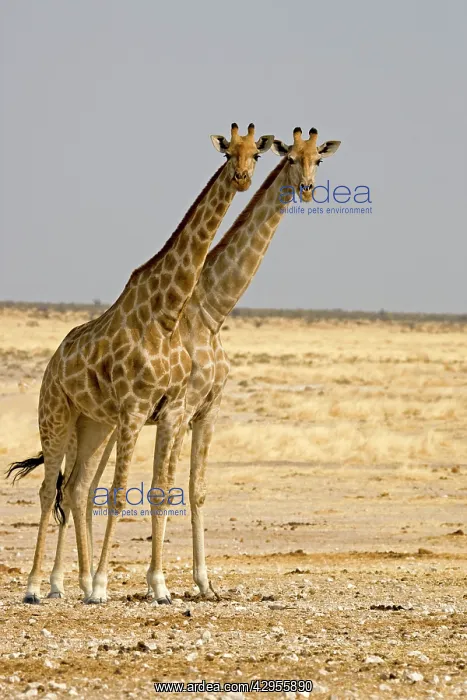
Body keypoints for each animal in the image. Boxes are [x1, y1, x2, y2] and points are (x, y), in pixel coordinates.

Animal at [6, 123, 274, 605]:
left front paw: (157, 586)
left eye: (256, 155)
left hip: (94, 425)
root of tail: (51, 365)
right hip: (55, 417)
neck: (165, 314)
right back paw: (38, 586)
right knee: (48, 489)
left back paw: (68, 582)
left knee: (75, 487)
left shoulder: (167, 410)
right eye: (228, 152)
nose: (242, 178)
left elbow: (159, 490)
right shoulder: (137, 409)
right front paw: (102, 587)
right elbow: (119, 493)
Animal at [51, 127, 341, 603]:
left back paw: (74, 580)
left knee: (80, 486)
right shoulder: (177, 410)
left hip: (104, 423)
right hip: (91, 419)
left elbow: (193, 489)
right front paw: (155, 583)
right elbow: (160, 489)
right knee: (75, 485)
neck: (210, 310)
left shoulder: (204, 410)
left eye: (318, 159)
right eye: (290, 158)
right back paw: (65, 582)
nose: (307, 189)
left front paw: (203, 583)